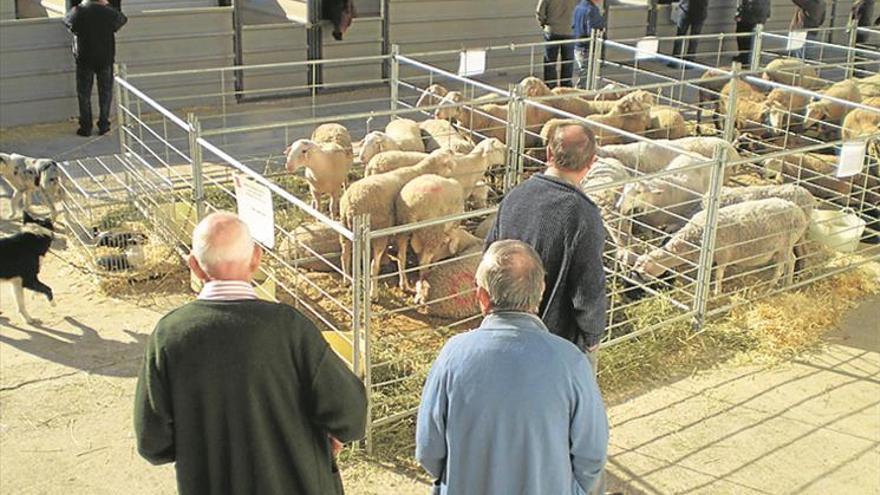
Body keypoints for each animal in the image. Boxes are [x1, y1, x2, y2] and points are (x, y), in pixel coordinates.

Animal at [340, 150, 458, 298]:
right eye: (449, 162)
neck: (421, 170)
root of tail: (351, 204)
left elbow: (401, 257)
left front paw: (404, 284)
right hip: (379, 232)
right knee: (373, 265)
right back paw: (374, 294)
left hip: (345, 229)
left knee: (344, 256)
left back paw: (347, 281)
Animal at [632, 199, 812, 298]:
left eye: (641, 270)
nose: (632, 283)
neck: (692, 238)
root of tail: (798, 210)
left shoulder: (723, 255)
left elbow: (719, 275)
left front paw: (717, 292)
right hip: (782, 247)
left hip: (785, 245)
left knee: (788, 262)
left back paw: (780, 284)